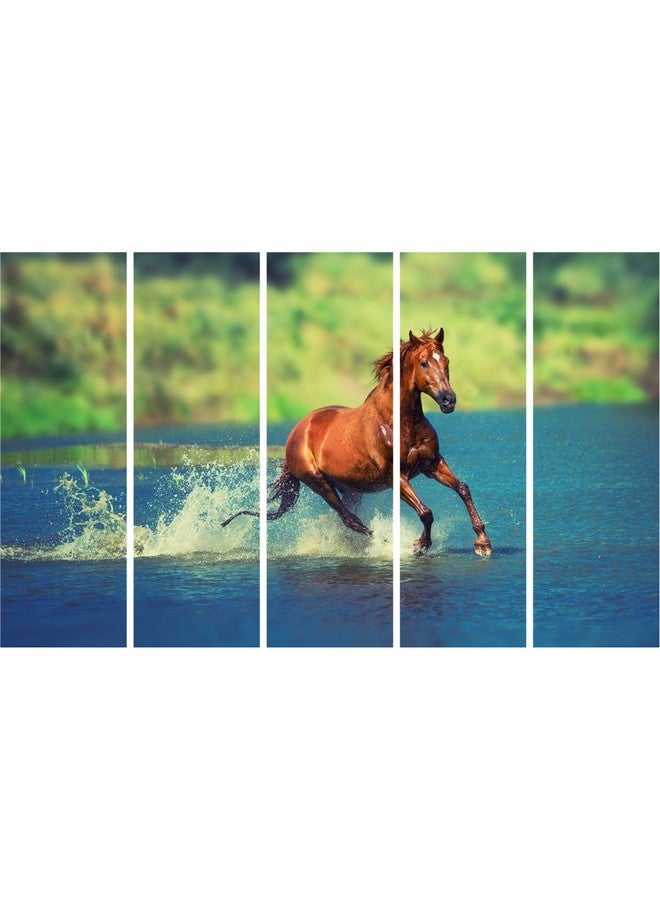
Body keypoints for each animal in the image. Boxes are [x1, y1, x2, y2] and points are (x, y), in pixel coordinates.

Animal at [221, 328, 492, 557]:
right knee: (349, 519)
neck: (400, 422)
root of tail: (296, 433)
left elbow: (463, 489)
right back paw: (384, 542)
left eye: (446, 361)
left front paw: (482, 543)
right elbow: (426, 512)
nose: (448, 400)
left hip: (350, 488)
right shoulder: (396, 477)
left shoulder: (432, 464)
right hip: (319, 483)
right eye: (424, 362)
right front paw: (419, 545)